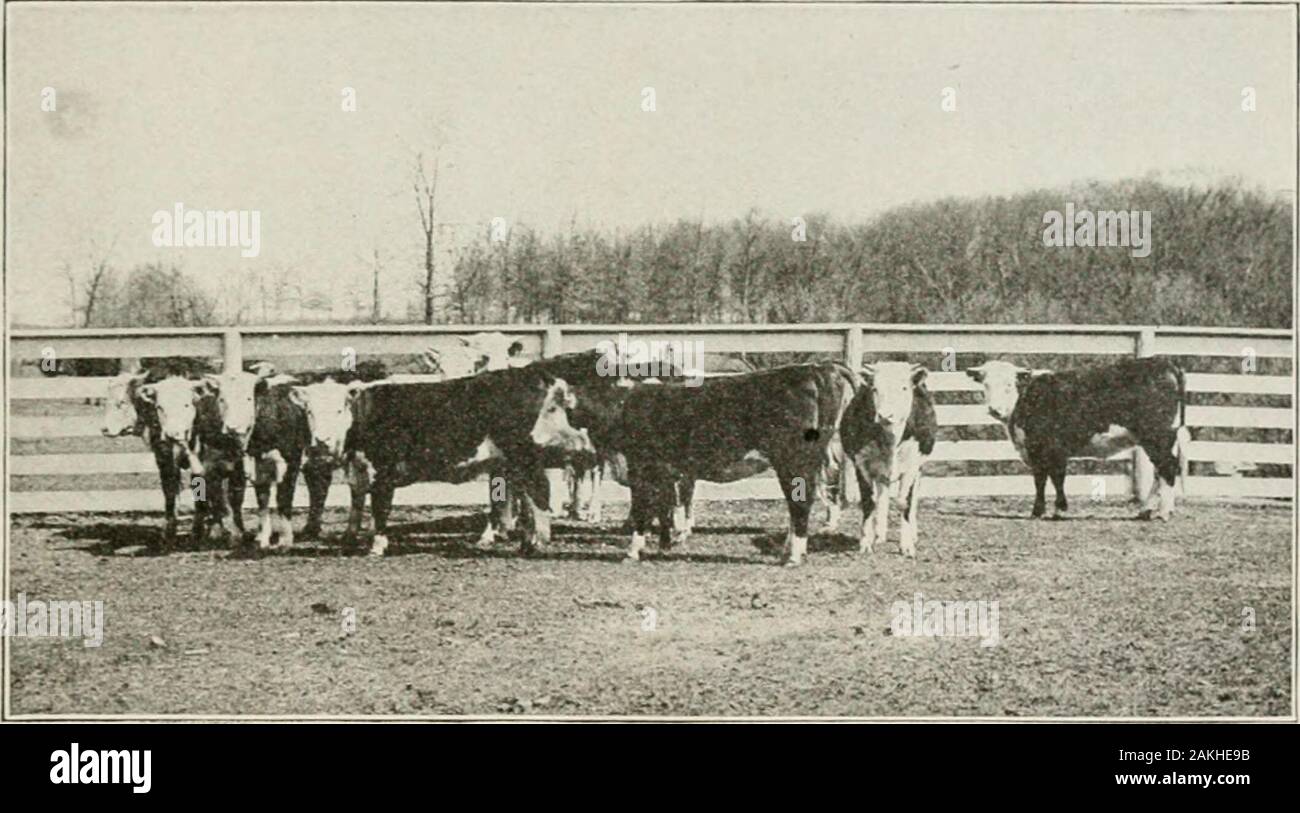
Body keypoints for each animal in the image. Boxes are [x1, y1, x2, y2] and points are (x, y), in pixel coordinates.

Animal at [967, 356, 1190, 520]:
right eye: (986, 385)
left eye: (1008, 385)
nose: (995, 410)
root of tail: (1164, 362)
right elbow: (1044, 479)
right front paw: (1045, 510)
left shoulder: (1047, 448)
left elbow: (1051, 478)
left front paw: (1051, 510)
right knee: (1160, 470)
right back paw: (1146, 510)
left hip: (1157, 435)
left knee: (1167, 467)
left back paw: (1163, 513)